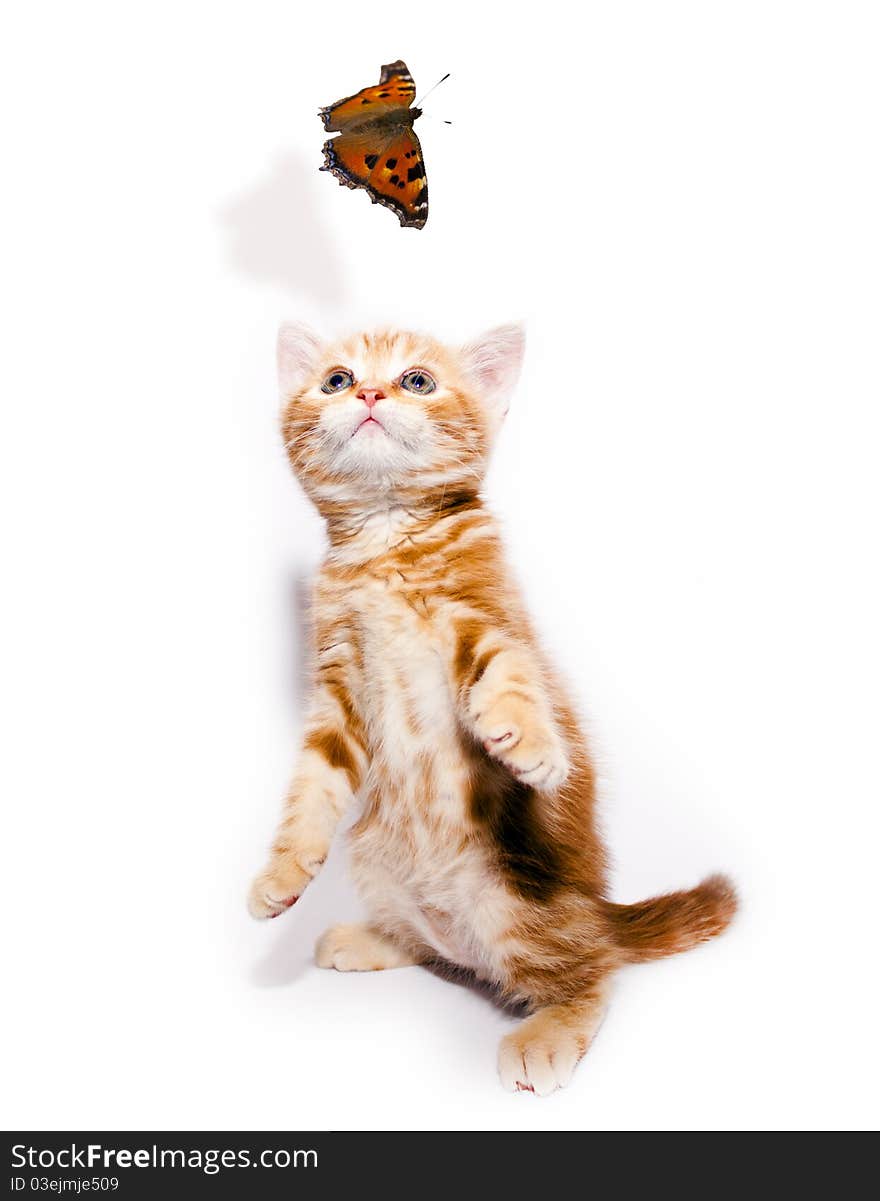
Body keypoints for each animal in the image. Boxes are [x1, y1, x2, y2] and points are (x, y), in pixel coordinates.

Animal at [248, 324, 734, 1095]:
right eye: (336, 379)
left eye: (417, 380)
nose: (369, 393)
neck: (387, 536)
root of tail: (596, 914)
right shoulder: (336, 687)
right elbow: (311, 788)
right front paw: (282, 874)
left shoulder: (488, 617)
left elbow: (510, 675)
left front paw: (532, 746)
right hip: (380, 864)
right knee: (438, 948)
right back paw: (373, 936)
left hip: (516, 898)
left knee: (593, 972)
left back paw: (550, 1031)